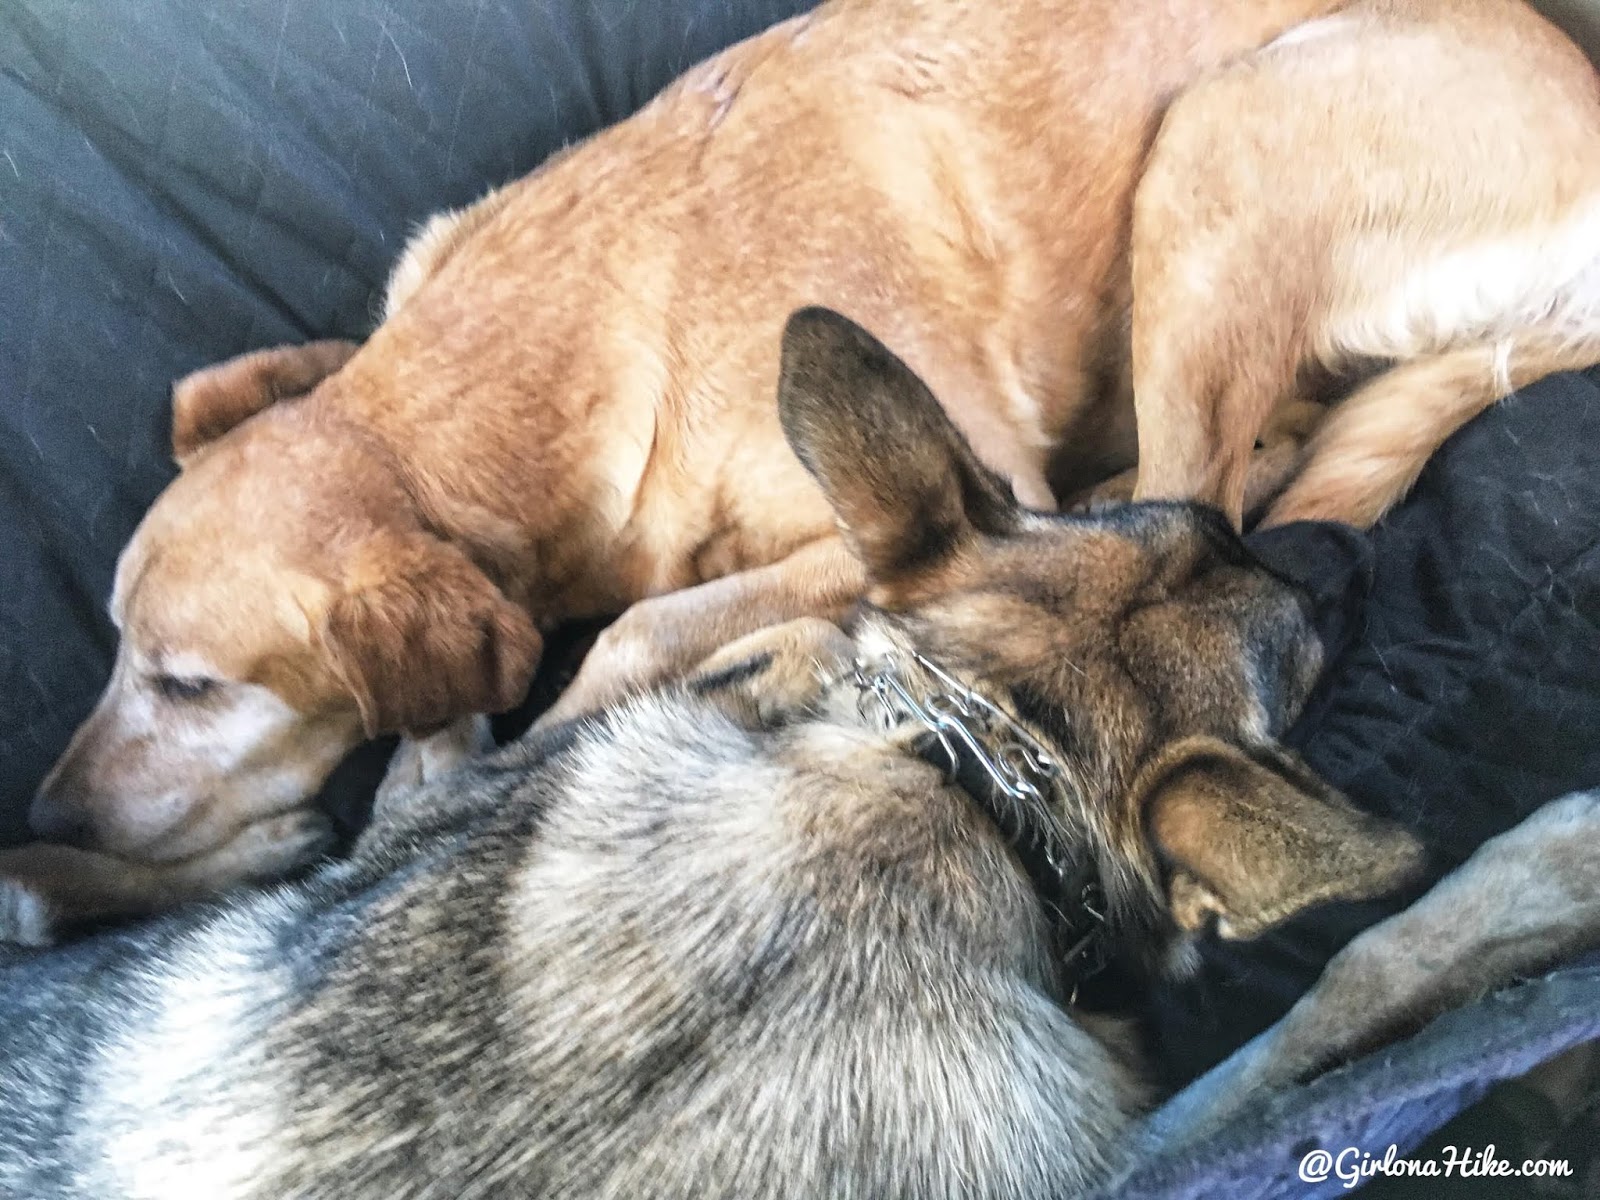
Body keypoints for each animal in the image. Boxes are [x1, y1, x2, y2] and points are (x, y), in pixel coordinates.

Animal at [0, 312, 1593, 1200]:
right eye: (1305, 654)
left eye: (1210, 531)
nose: (1334, 541)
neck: (960, 777)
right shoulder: (1111, 1143)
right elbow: (1345, 988)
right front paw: (1544, 880)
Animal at [18, 0, 1600, 921]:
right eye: (115, 651)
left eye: (191, 684)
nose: (44, 812)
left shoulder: (899, 498)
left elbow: (631, 634)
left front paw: (508, 752)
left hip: (1220, 137)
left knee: (1198, 479)